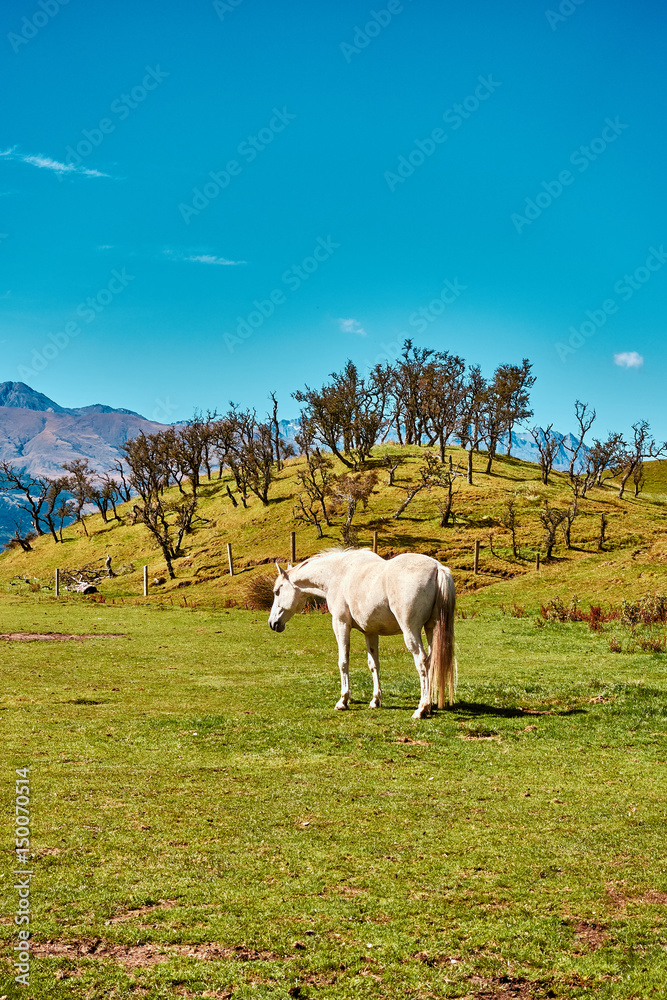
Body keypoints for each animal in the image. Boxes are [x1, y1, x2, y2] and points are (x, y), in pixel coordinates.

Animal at [268, 548, 456, 720]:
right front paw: (375, 700)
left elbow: (343, 662)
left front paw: (343, 701)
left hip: (411, 631)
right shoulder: (370, 632)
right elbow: (374, 664)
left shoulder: (340, 624)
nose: (272, 623)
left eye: (277, 591)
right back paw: (429, 704)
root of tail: (438, 568)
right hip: (431, 629)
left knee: (422, 661)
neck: (337, 574)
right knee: (431, 660)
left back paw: (422, 708)